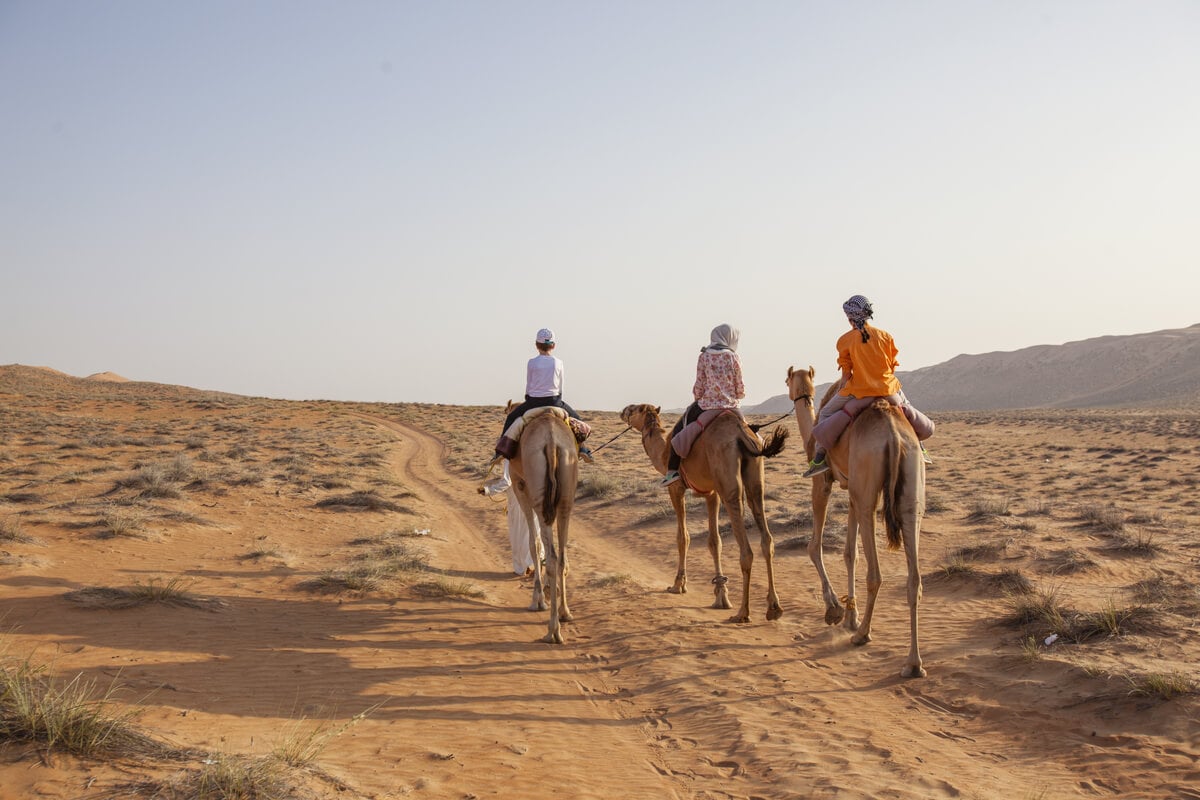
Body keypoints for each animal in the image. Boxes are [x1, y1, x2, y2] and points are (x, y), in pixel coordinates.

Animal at [506, 407, 580, 642]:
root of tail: (551, 440)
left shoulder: (520, 486)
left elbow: (533, 542)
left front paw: (537, 600)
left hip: (538, 491)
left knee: (551, 554)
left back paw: (552, 631)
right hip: (567, 493)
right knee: (561, 557)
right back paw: (564, 614)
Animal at [619, 402, 787, 623]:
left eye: (633, 409)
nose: (622, 411)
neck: (663, 450)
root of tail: (740, 433)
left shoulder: (676, 488)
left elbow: (683, 537)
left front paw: (678, 584)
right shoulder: (712, 493)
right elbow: (714, 541)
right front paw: (721, 594)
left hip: (728, 481)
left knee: (746, 549)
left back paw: (743, 613)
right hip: (754, 476)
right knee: (766, 536)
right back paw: (774, 607)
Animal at [787, 367, 926, 681]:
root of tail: (893, 436)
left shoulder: (823, 482)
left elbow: (815, 546)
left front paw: (836, 610)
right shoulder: (851, 490)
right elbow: (851, 554)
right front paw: (851, 615)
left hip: (866, 485)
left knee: (875, 573)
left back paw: (862, 635)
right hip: (908, 488)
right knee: (914, 575)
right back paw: (913, 663)